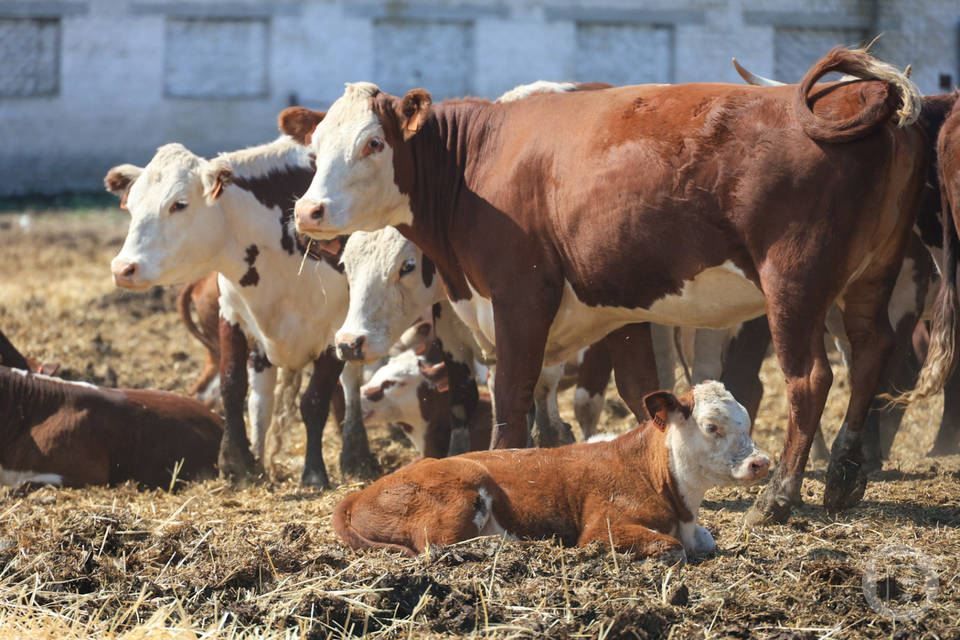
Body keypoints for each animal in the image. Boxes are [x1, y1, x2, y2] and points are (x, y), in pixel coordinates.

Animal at [105, 136, 376, 490]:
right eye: (132, 206)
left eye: (179, 204)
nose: (123, 268)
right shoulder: (232, 316)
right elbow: (232, 387)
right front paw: (237, 462)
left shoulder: (335, 332)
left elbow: (315, 400)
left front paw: (314, 472)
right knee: (262, 399)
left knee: (349, 385)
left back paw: (356, 453)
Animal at [282, 47, 932, 524]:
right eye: (315, 147)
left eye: (373, 141)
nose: (309, 210)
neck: (478, 164)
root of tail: (853, 93)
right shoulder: (622, 310)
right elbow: (640, 390)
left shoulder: (520, 296)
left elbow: (511, 394)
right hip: (868, 277)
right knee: (871, 353)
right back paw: (845, 475)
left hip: (794, 284)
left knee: (811, 378)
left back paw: (780, 497)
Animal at [334, 382, 768, 556]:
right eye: (711, 427)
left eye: (748, 422)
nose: (760, 462)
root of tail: (359, 493)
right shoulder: (601, 527)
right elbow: (671, 547)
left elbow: (705, 540)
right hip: (461, 491)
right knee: (438, 544)